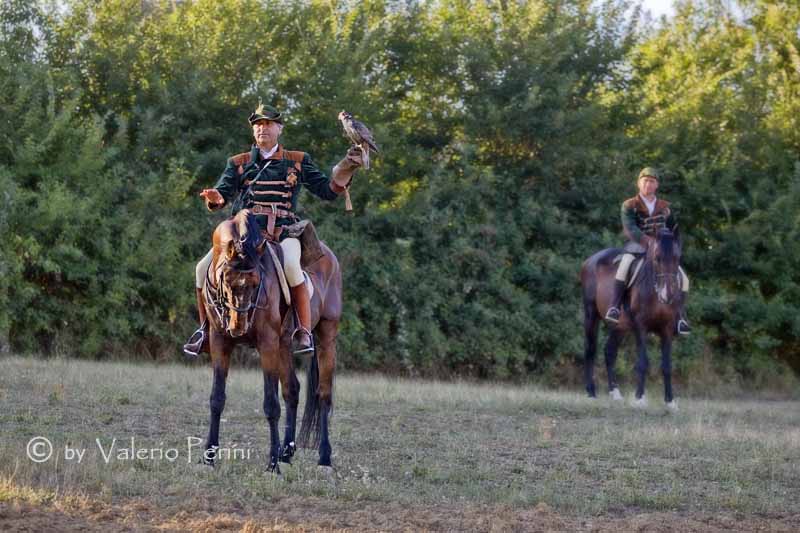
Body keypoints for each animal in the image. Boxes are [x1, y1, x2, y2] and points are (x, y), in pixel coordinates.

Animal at [200, 210, 340, 468]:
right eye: (225, 278)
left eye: (257, 282)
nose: (238, 326)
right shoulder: (219, 342)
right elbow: (217, 398)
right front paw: (209, 457)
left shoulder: (267, 344)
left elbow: (271, 404)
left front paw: (272, 464)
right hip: (283, 345)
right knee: (292, 390)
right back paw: (287, 453)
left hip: (326, 336)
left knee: (324, 393)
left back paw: (324, 458)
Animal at [580, 229, 684, 408]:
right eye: (657, 257)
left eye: (677, 257)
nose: (668, 295)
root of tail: (590, 260)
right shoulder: (640, 327)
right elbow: (642, 362)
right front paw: (640, 398)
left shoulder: (667, 329)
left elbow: (667, 365)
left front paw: (670, 402)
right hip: (591, 314)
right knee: (590, 349)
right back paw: (591, 392)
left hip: (620, 327)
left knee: (609, 351)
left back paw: (615, 393)